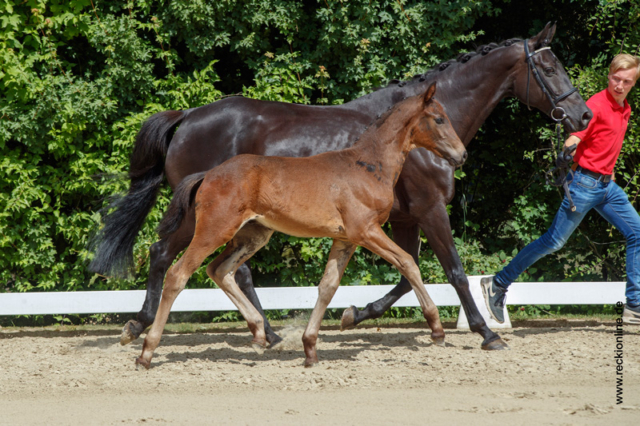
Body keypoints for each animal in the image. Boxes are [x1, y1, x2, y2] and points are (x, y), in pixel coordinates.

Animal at [136, 83, 464, 370]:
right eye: (439, 118)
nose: (461, 154)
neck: (367, 166)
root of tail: (208, 175)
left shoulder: (345, 239)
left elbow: (328, 286)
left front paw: (310, 349)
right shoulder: (366, 231)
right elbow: (408, 262)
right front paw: (436, 329)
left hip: (253, 235)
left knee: (219, 270)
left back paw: (259, 332)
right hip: (214, 230)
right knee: (178, 274)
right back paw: (146, 352)